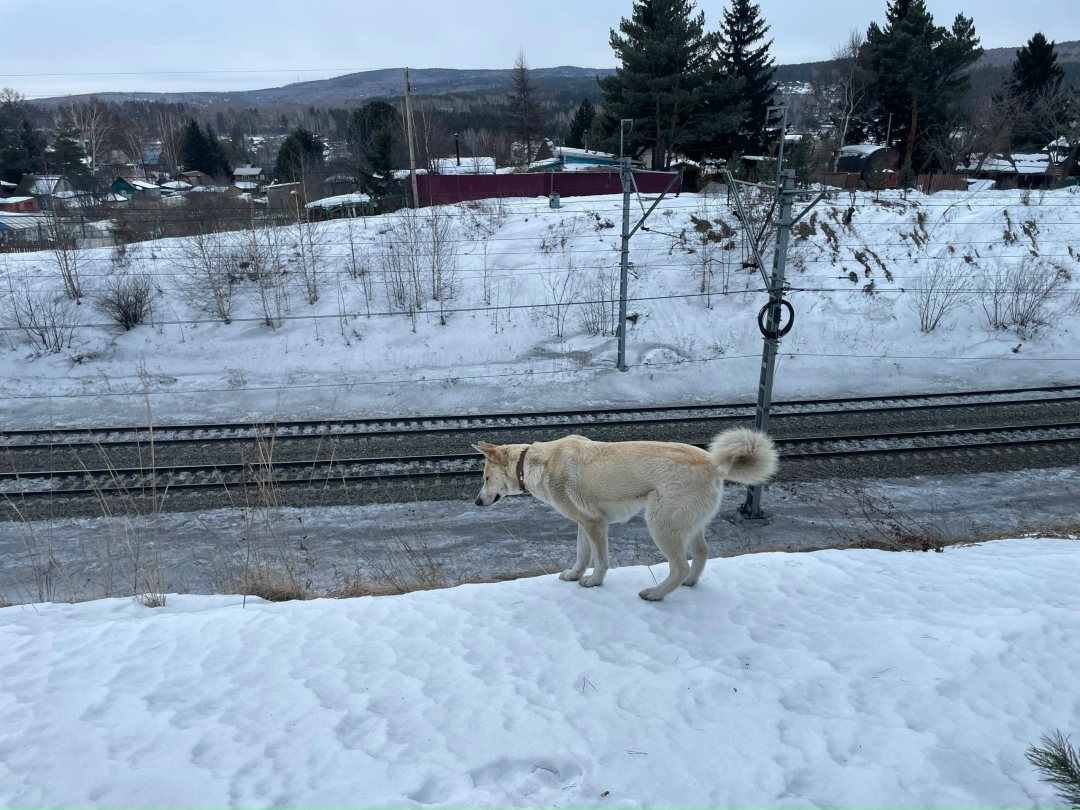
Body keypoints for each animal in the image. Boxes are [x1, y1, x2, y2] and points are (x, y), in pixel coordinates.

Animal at [472, 428, 778, 601]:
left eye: (486, 478)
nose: (476, 502)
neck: (536, 463)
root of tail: (713, 463)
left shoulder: (595, 524)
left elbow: (599, 559)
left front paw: (594, 582)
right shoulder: (583, 523)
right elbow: (582, 554)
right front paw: (574, 575)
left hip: (660, 526)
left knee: (680, 566)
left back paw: (656, 594)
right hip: (687, 525)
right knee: (701, 554)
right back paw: (689, 583)